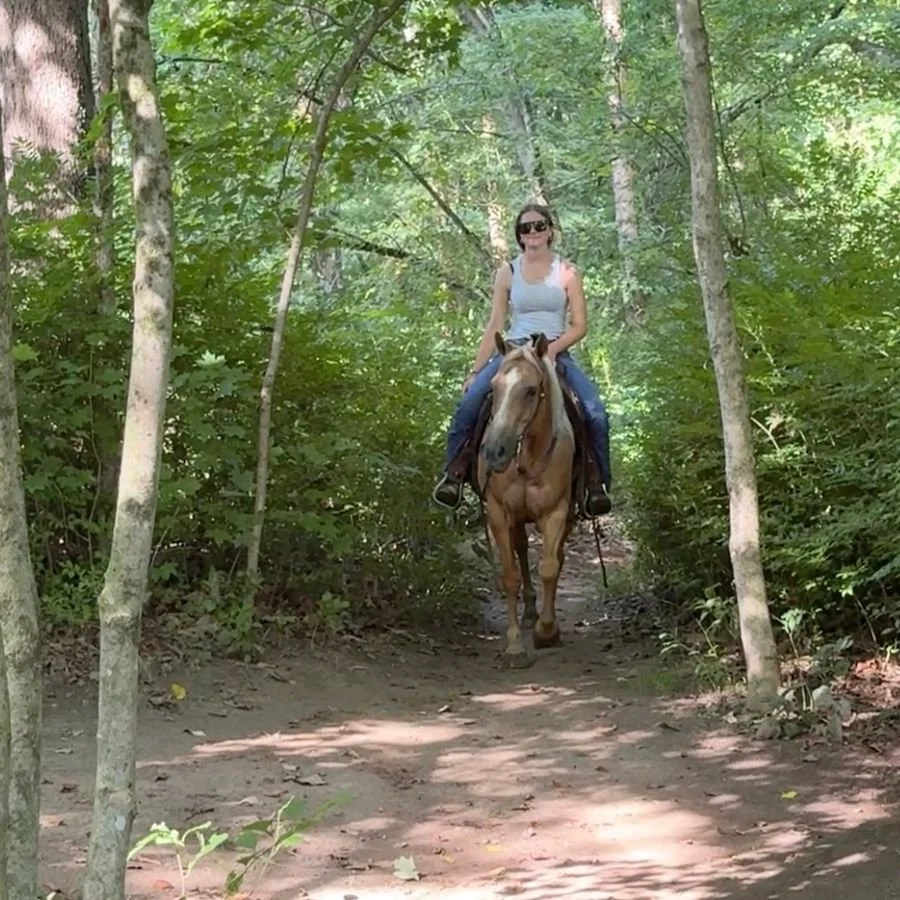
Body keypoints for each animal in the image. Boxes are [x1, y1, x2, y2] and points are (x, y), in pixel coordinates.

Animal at [477, 331, 576, 668]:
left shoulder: (556, 511)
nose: (495, 452)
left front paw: (547, 630)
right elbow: (509, 577)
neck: (526, 459)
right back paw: (531, 612)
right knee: (521, 549)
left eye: (531, 391)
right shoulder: (497, 512)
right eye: (493, 387)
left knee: (555, 559)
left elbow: (548, 567)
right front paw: (514, 646)